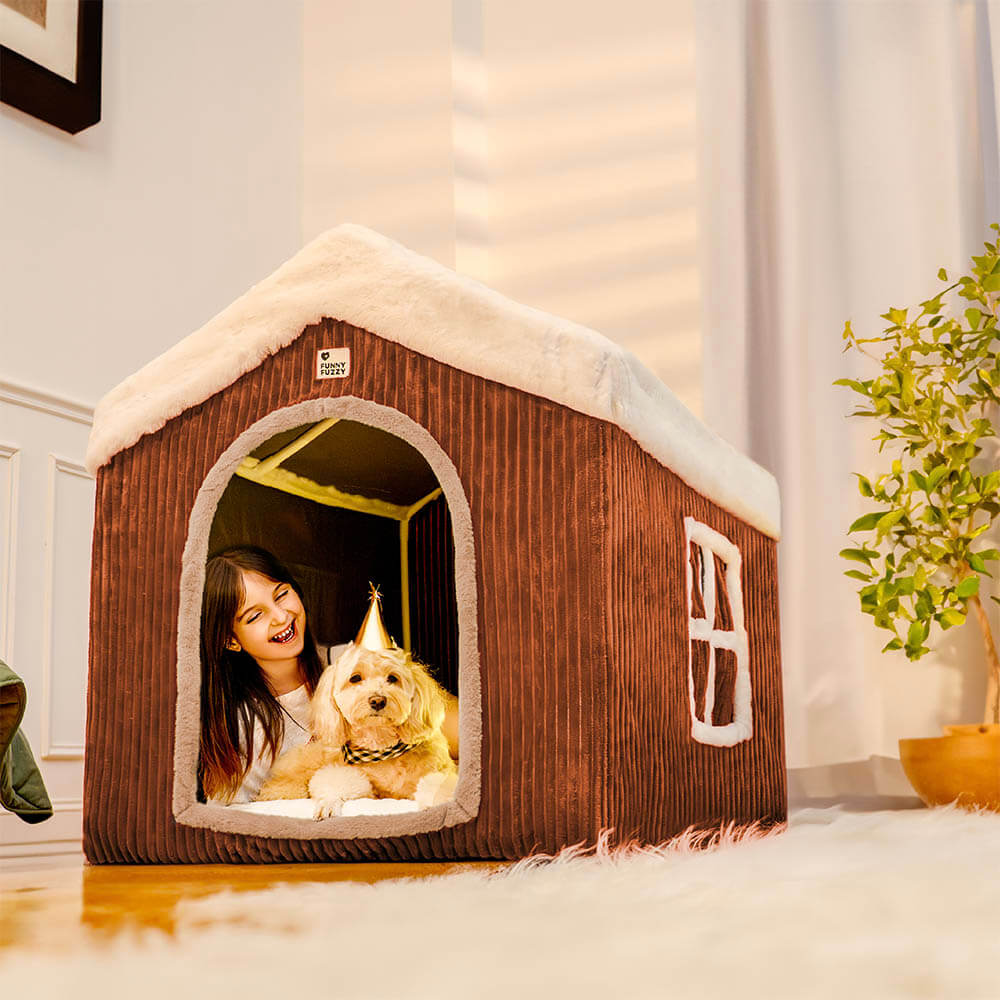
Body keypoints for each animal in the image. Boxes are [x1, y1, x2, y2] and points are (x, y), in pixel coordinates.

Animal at [258, 644, 460, 816]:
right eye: (355, 678)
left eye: (393, 678)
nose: (377, 700)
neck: (381, 748)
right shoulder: (346, 775)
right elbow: (339, 783)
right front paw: (329, 803)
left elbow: (435, 786)